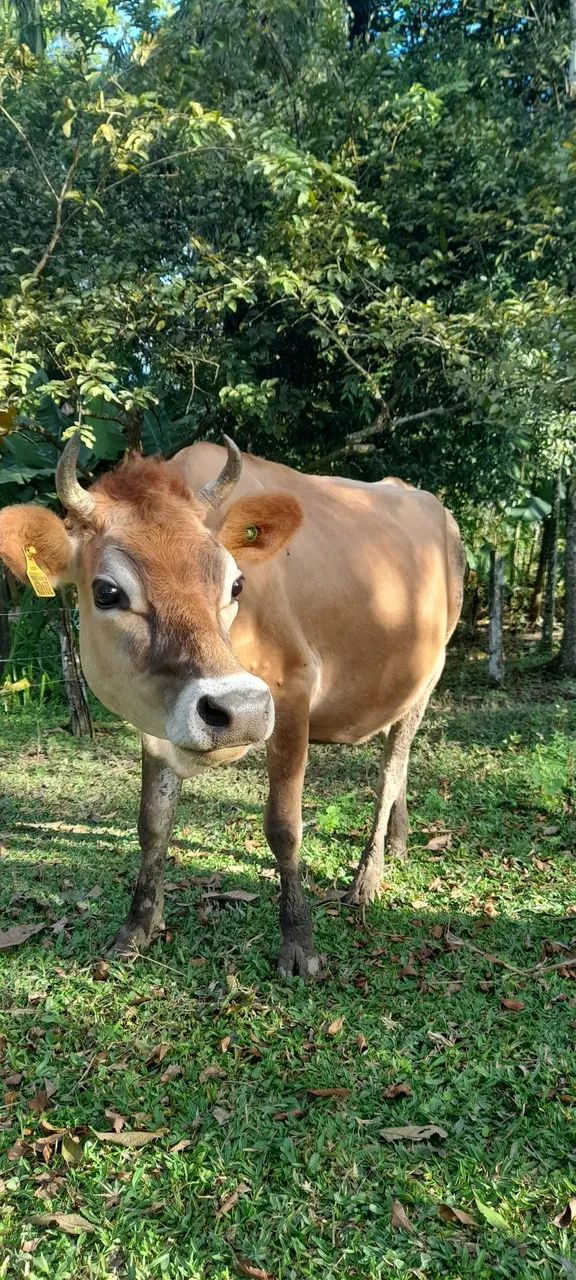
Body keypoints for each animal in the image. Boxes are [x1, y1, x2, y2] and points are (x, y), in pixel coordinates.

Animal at [0, 434, 464, 977]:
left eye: (237, 583)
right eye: (107, 592)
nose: (238, 710)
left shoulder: (291, 689)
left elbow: (284, 826)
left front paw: (298, 941)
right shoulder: (156, 720)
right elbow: (152, 822)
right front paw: (137, 927)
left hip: (432, 669)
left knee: (391, 769)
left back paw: (367, 877)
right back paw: (398, 843)